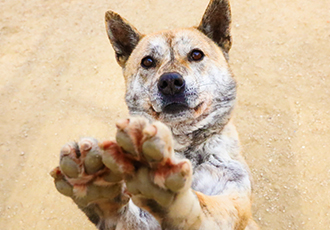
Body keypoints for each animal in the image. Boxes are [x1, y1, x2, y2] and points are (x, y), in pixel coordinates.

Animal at [50, 0, 260, 229]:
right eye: (148, 61)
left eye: (196, 55)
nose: (170, 82)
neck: (183, 147)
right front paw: (98, 194)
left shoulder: (232, 196)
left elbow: (202, 206)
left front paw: (168, 193)